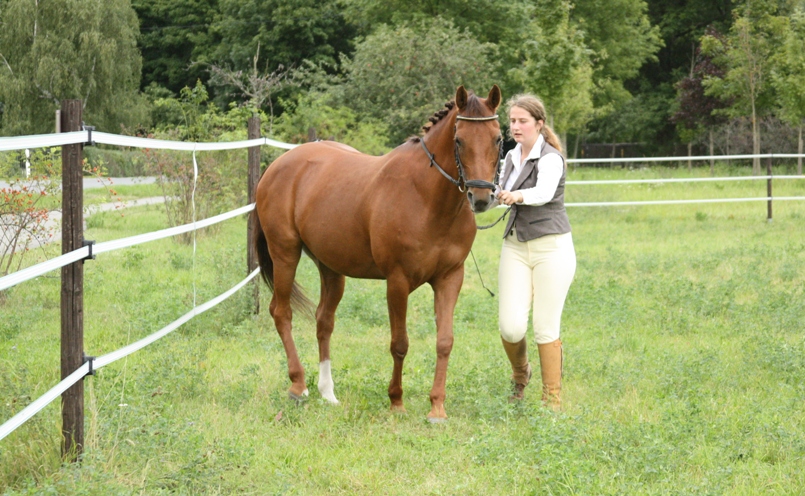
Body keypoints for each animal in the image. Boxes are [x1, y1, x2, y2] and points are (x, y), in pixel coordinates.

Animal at [253, 85, 502, 422]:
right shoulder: (397, 282)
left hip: (331, 267)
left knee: (324, 321)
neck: (427, 197)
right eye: (459, 140)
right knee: (282, 313)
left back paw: (327, 392)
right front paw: (396, 401)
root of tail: (276, 166)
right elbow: (400, 343)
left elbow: (445, 341)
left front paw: (437, 407)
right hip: (285, 254)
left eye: (498, 138)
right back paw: (298, 385)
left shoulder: (450, 278)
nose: (481, 197)